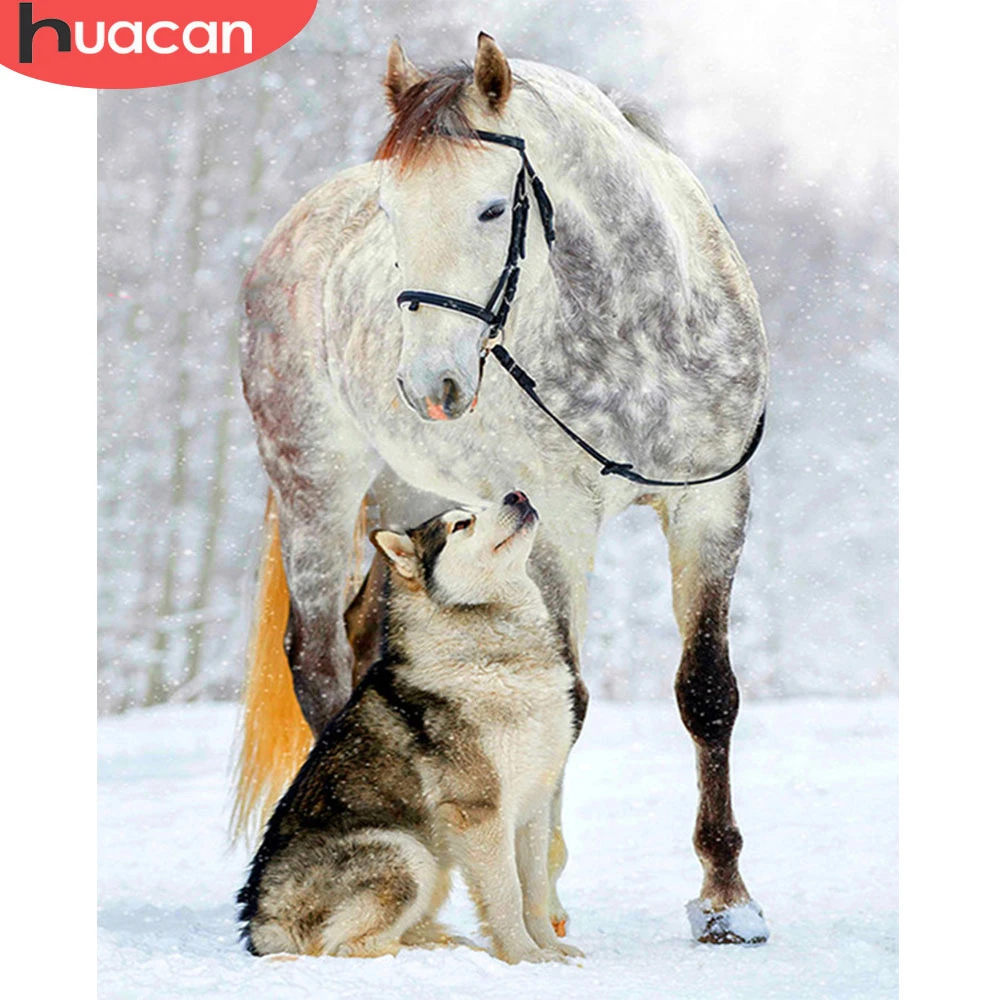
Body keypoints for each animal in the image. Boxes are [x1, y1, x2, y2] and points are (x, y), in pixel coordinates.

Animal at [232, 33, 770, 945]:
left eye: (491, 209)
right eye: (391, 212)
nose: (431, 384)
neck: (641, 329)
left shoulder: (711, 505)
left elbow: (707, 693)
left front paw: (728, 903)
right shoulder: (561, 522)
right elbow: (570, 697)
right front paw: (541, 895)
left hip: (411, 504)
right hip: (315, 489)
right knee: (319, 661)